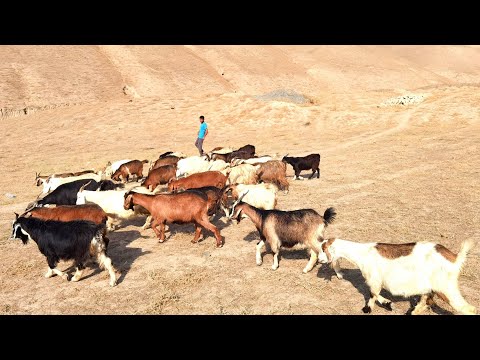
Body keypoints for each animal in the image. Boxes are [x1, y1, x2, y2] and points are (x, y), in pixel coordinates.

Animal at [316, 239, 478, 316]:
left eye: (323, 249)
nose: (319, 260)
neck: (362, 253)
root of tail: (455, 258)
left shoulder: (374, 279)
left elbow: (372, 293)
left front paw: (368, 308)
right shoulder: (377, 280)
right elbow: (376, 294)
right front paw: (388, 303)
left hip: (445, 288)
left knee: (469, 309)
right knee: (426, 300)